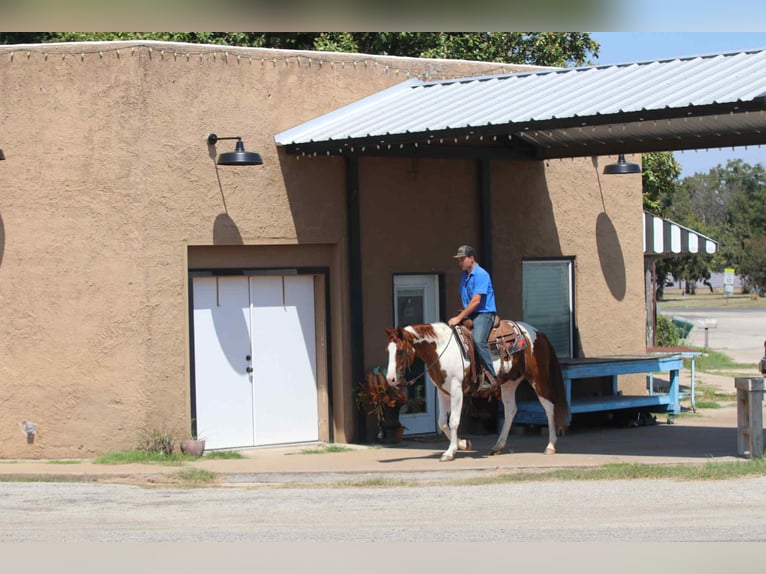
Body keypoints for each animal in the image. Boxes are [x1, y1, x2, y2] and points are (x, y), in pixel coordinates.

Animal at [384, 321, 569, 462]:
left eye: (400, 350)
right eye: (388, 351)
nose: (391, 379)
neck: (442, 350)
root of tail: (538, 332)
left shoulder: (456, 390)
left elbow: (454, 421)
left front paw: (450, 452)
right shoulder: (442, 392)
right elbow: (442, 422)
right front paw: (463, 444)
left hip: (538, 379)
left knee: (549, 407)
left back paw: (550, 446)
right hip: (509, 383)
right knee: (510, 411)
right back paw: (497, 446)